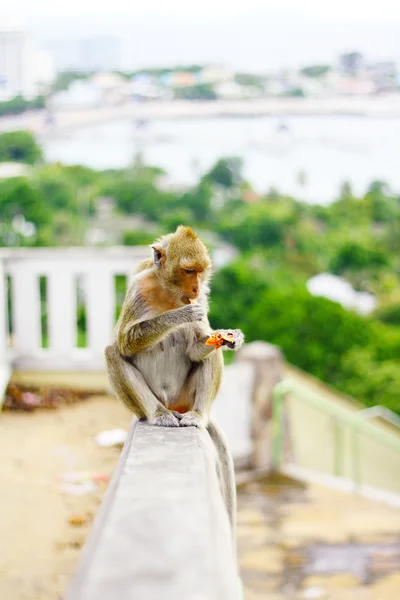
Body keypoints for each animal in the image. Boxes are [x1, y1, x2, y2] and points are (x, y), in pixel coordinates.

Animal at [104, 225, 244, 528]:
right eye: (189, 271)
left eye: (201, 272)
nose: (196, 288)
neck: (168, 291)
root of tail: (175, 405)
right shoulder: (138, 287)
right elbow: (126, 343)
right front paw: (182, 314)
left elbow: (199, 347)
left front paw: (232, 337)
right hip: (150, 402)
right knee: (113, 352)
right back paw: (158, 414)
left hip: (186, 395)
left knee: (212, 353)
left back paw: (198, 415)